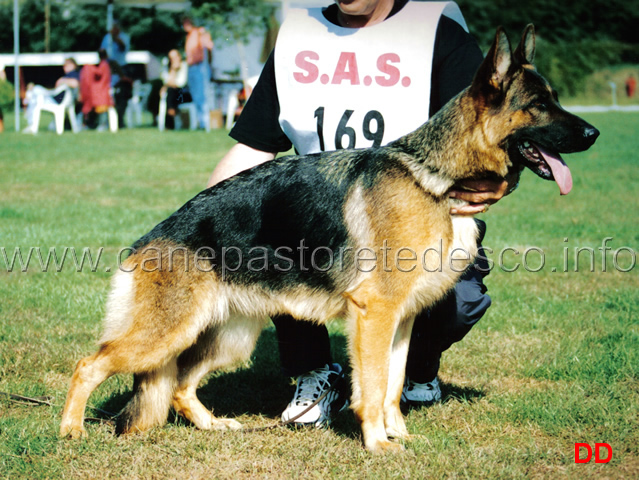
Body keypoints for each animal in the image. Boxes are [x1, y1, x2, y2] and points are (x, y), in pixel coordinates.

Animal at [60, 26, 600, 454]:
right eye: (539, 106)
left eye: (555, 99)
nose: (594, 133)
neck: (435, 179)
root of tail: (150, 239)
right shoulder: (374, 315)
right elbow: (373, 386)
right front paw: (378, 444)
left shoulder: (400, 320)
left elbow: (393, 384)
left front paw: (398, 434)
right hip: (165, 334)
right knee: (88, 364)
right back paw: (70, 432)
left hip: (227, 337)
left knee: (179, 386)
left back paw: (216, 426)